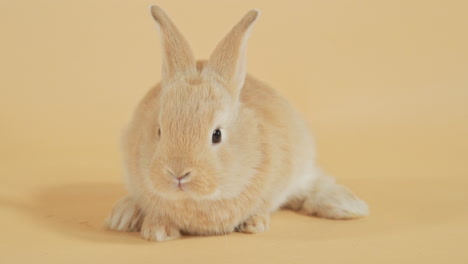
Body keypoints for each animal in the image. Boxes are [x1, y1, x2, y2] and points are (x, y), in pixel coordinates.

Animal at [106, 5, 370, 241]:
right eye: (159, 131)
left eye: (217, 134)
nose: (178, 173)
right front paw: (157, 230)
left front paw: (255, 224)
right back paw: (122, 216)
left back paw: (349, 206)